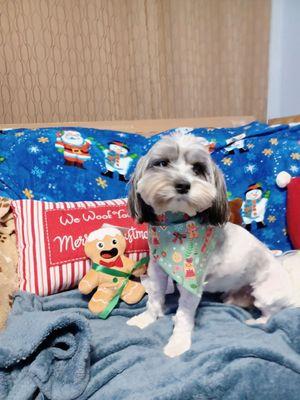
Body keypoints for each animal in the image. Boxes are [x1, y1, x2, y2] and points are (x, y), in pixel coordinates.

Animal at [126, 133, 298, 358]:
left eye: (198, 168)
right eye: (162, 163)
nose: (182, 185)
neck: (175, 228)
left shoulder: (192, 282)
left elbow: (184, 314)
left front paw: (178, 342)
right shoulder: (157, 268)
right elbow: (154, 296)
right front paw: (146, 318)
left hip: (264, 293)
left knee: (273, 314)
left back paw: (256, 321)